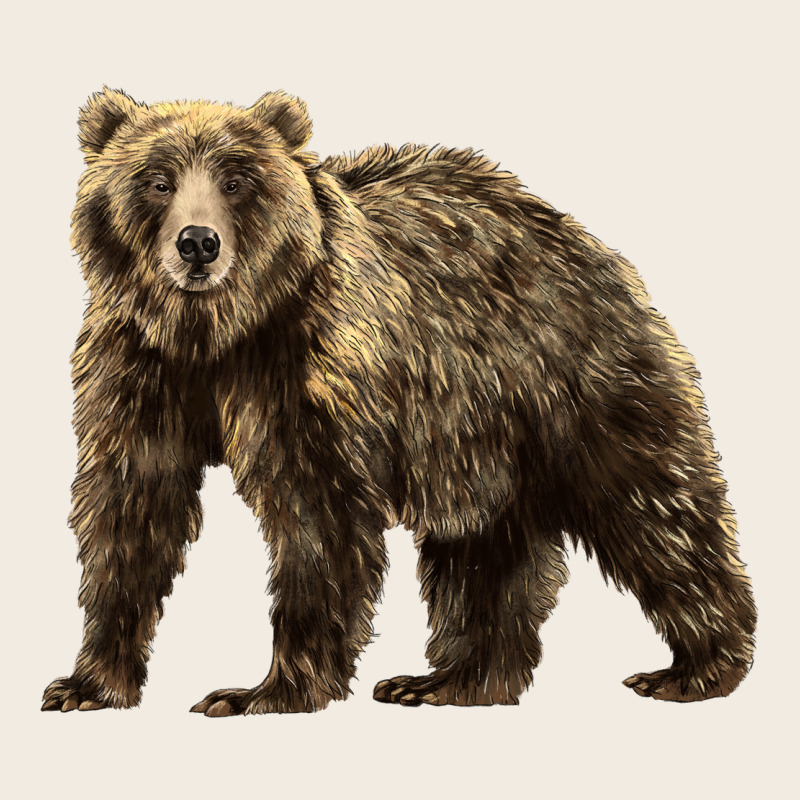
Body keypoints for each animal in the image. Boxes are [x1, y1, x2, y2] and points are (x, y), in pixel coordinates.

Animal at [43, 87, 756, 715]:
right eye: (156, 180)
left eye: (238, 180)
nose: (197, 243)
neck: (216, 334)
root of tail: (581, 236)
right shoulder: (138, 368)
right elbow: (131, 509)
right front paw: (87, 683)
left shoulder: (310, 367)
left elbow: (317, 518)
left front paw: (262, 691)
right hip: (475, 437)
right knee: (482, 548)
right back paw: (450, 680)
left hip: (571, 378)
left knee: (651, 504)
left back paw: (695, 667)